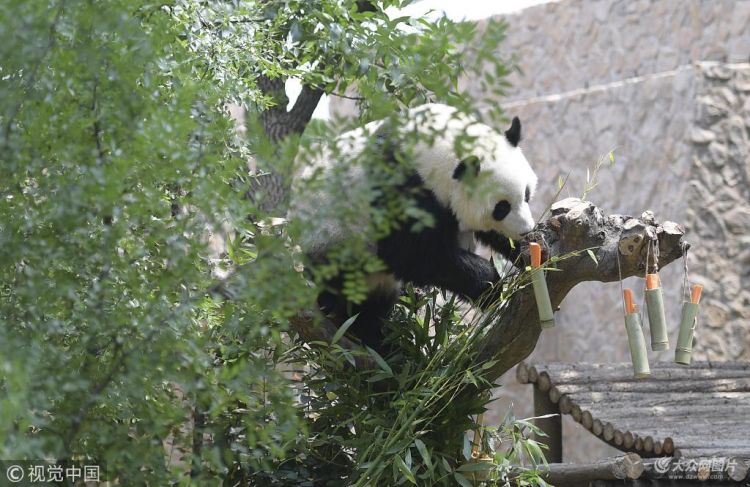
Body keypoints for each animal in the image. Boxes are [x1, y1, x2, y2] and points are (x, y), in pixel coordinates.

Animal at [290, 105, 540, 352]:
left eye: (527, 194)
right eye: (501, 208)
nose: (525, 230)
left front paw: (532, 248)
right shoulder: (398, 184)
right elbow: (412, 254)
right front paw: (490, 288)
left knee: (374, 304)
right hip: (337, 239)